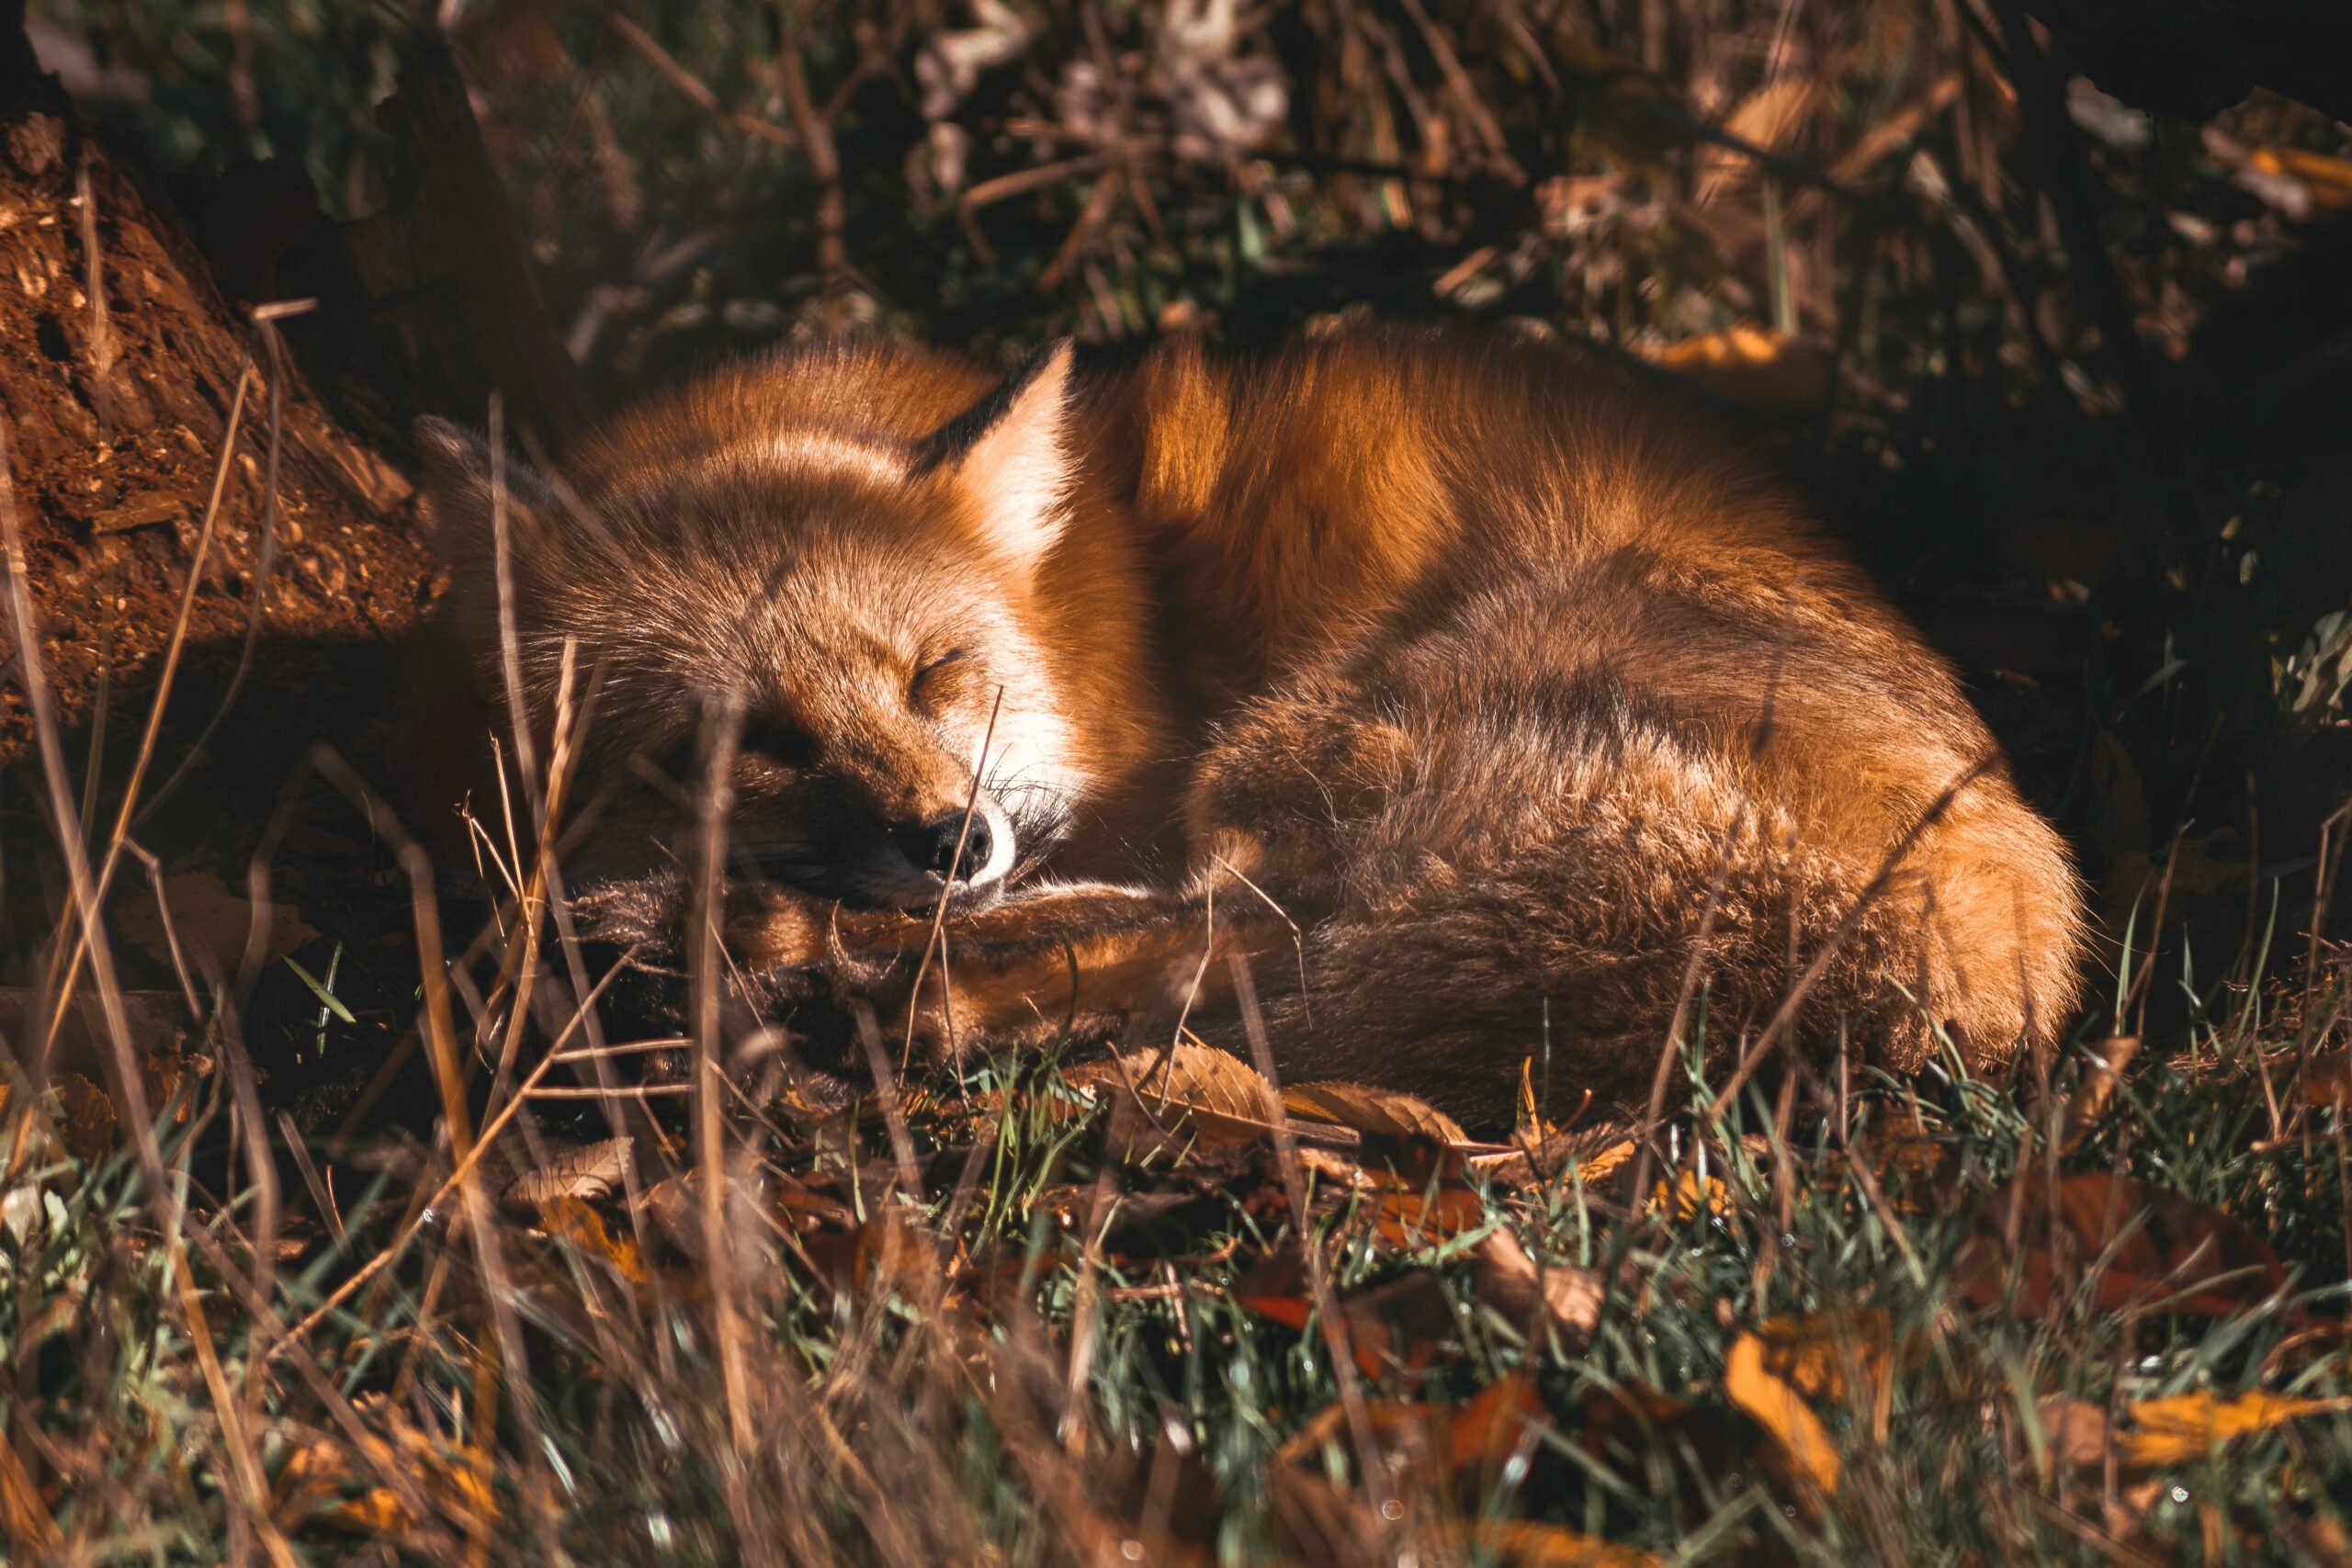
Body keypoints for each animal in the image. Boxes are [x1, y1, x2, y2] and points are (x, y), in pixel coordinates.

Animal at [409, 325, 2087, 1127]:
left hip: (1331, 736)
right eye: (746, 740)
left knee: (1225, 936)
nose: (950, 836)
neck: (1109, 592)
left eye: (938, 672)